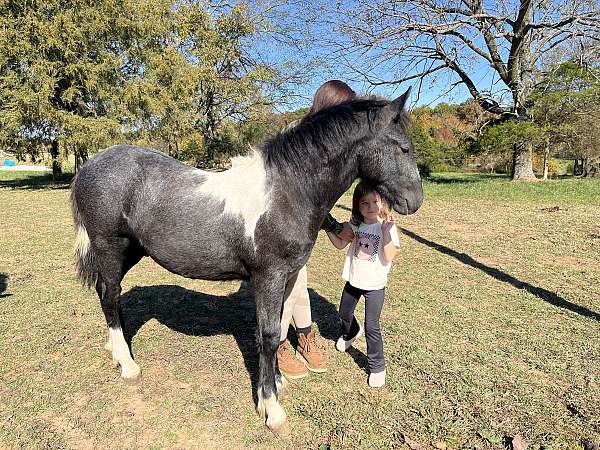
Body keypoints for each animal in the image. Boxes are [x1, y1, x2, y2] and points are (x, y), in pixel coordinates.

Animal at [70, 89, 424, 434]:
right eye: (404, 147)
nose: (415, 201)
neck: (287, 192)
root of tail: (90, 166)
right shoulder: (269, 277)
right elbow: (267, 335)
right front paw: (272, 409)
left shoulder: (289, 276)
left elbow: (279, 330)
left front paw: (277, 382)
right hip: (109, 246)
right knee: (110, 294)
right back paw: (128, 364)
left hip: (131, 250)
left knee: (107, 292)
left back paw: (115, 350)